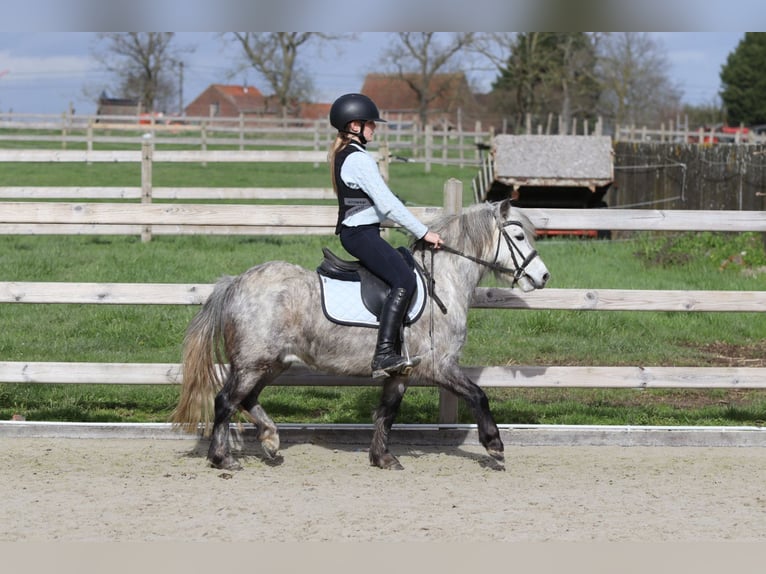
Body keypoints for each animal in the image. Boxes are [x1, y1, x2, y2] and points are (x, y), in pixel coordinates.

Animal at [171, 199, 550, 470]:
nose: (543, 277)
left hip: (271, 363)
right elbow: (478, 395)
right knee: (225, 401)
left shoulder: (402, 372)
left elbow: (387, 412)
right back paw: (223, 458)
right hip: (253, 363)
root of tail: (236, 282)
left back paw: (270, 440)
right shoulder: (438, 365)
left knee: (246, 399)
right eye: (518, 237)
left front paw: (383, 458)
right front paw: (494, 445)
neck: (442, 281)